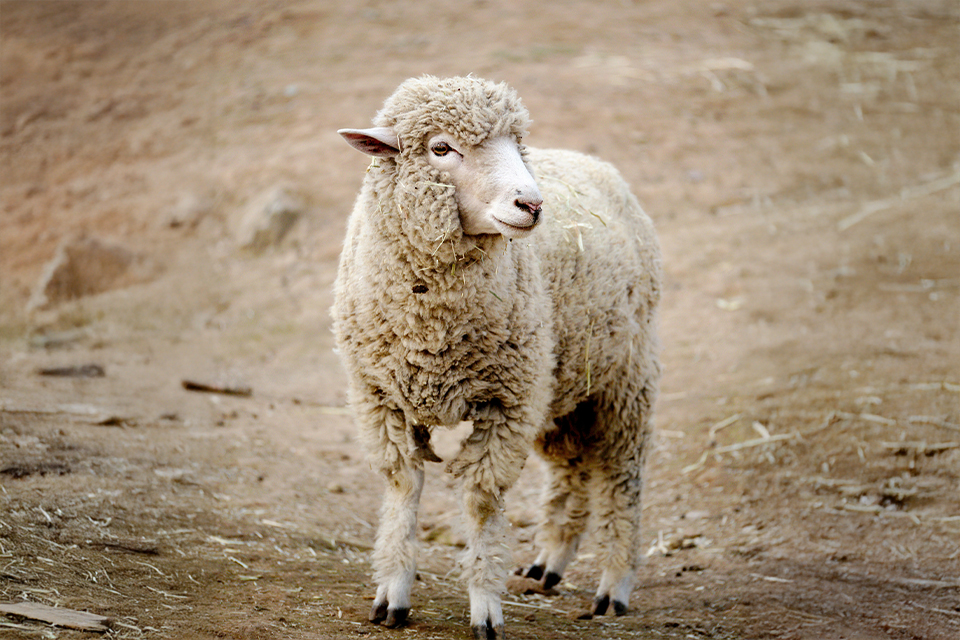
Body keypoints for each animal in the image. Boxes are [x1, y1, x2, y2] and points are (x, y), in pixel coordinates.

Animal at [333, 75, 661, 639]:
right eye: (441, 148)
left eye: (516, 145)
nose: (531, 204)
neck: (433, 332)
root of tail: (594, 162)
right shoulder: (381, 397)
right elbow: (403, 487)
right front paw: (392, 594)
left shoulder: (507, 404)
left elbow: (483, 501)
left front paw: (485, 606)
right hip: (561, 384)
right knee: (573, 468)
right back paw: (550, 561)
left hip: (622, 381)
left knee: (622, 477)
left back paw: (613, 586)